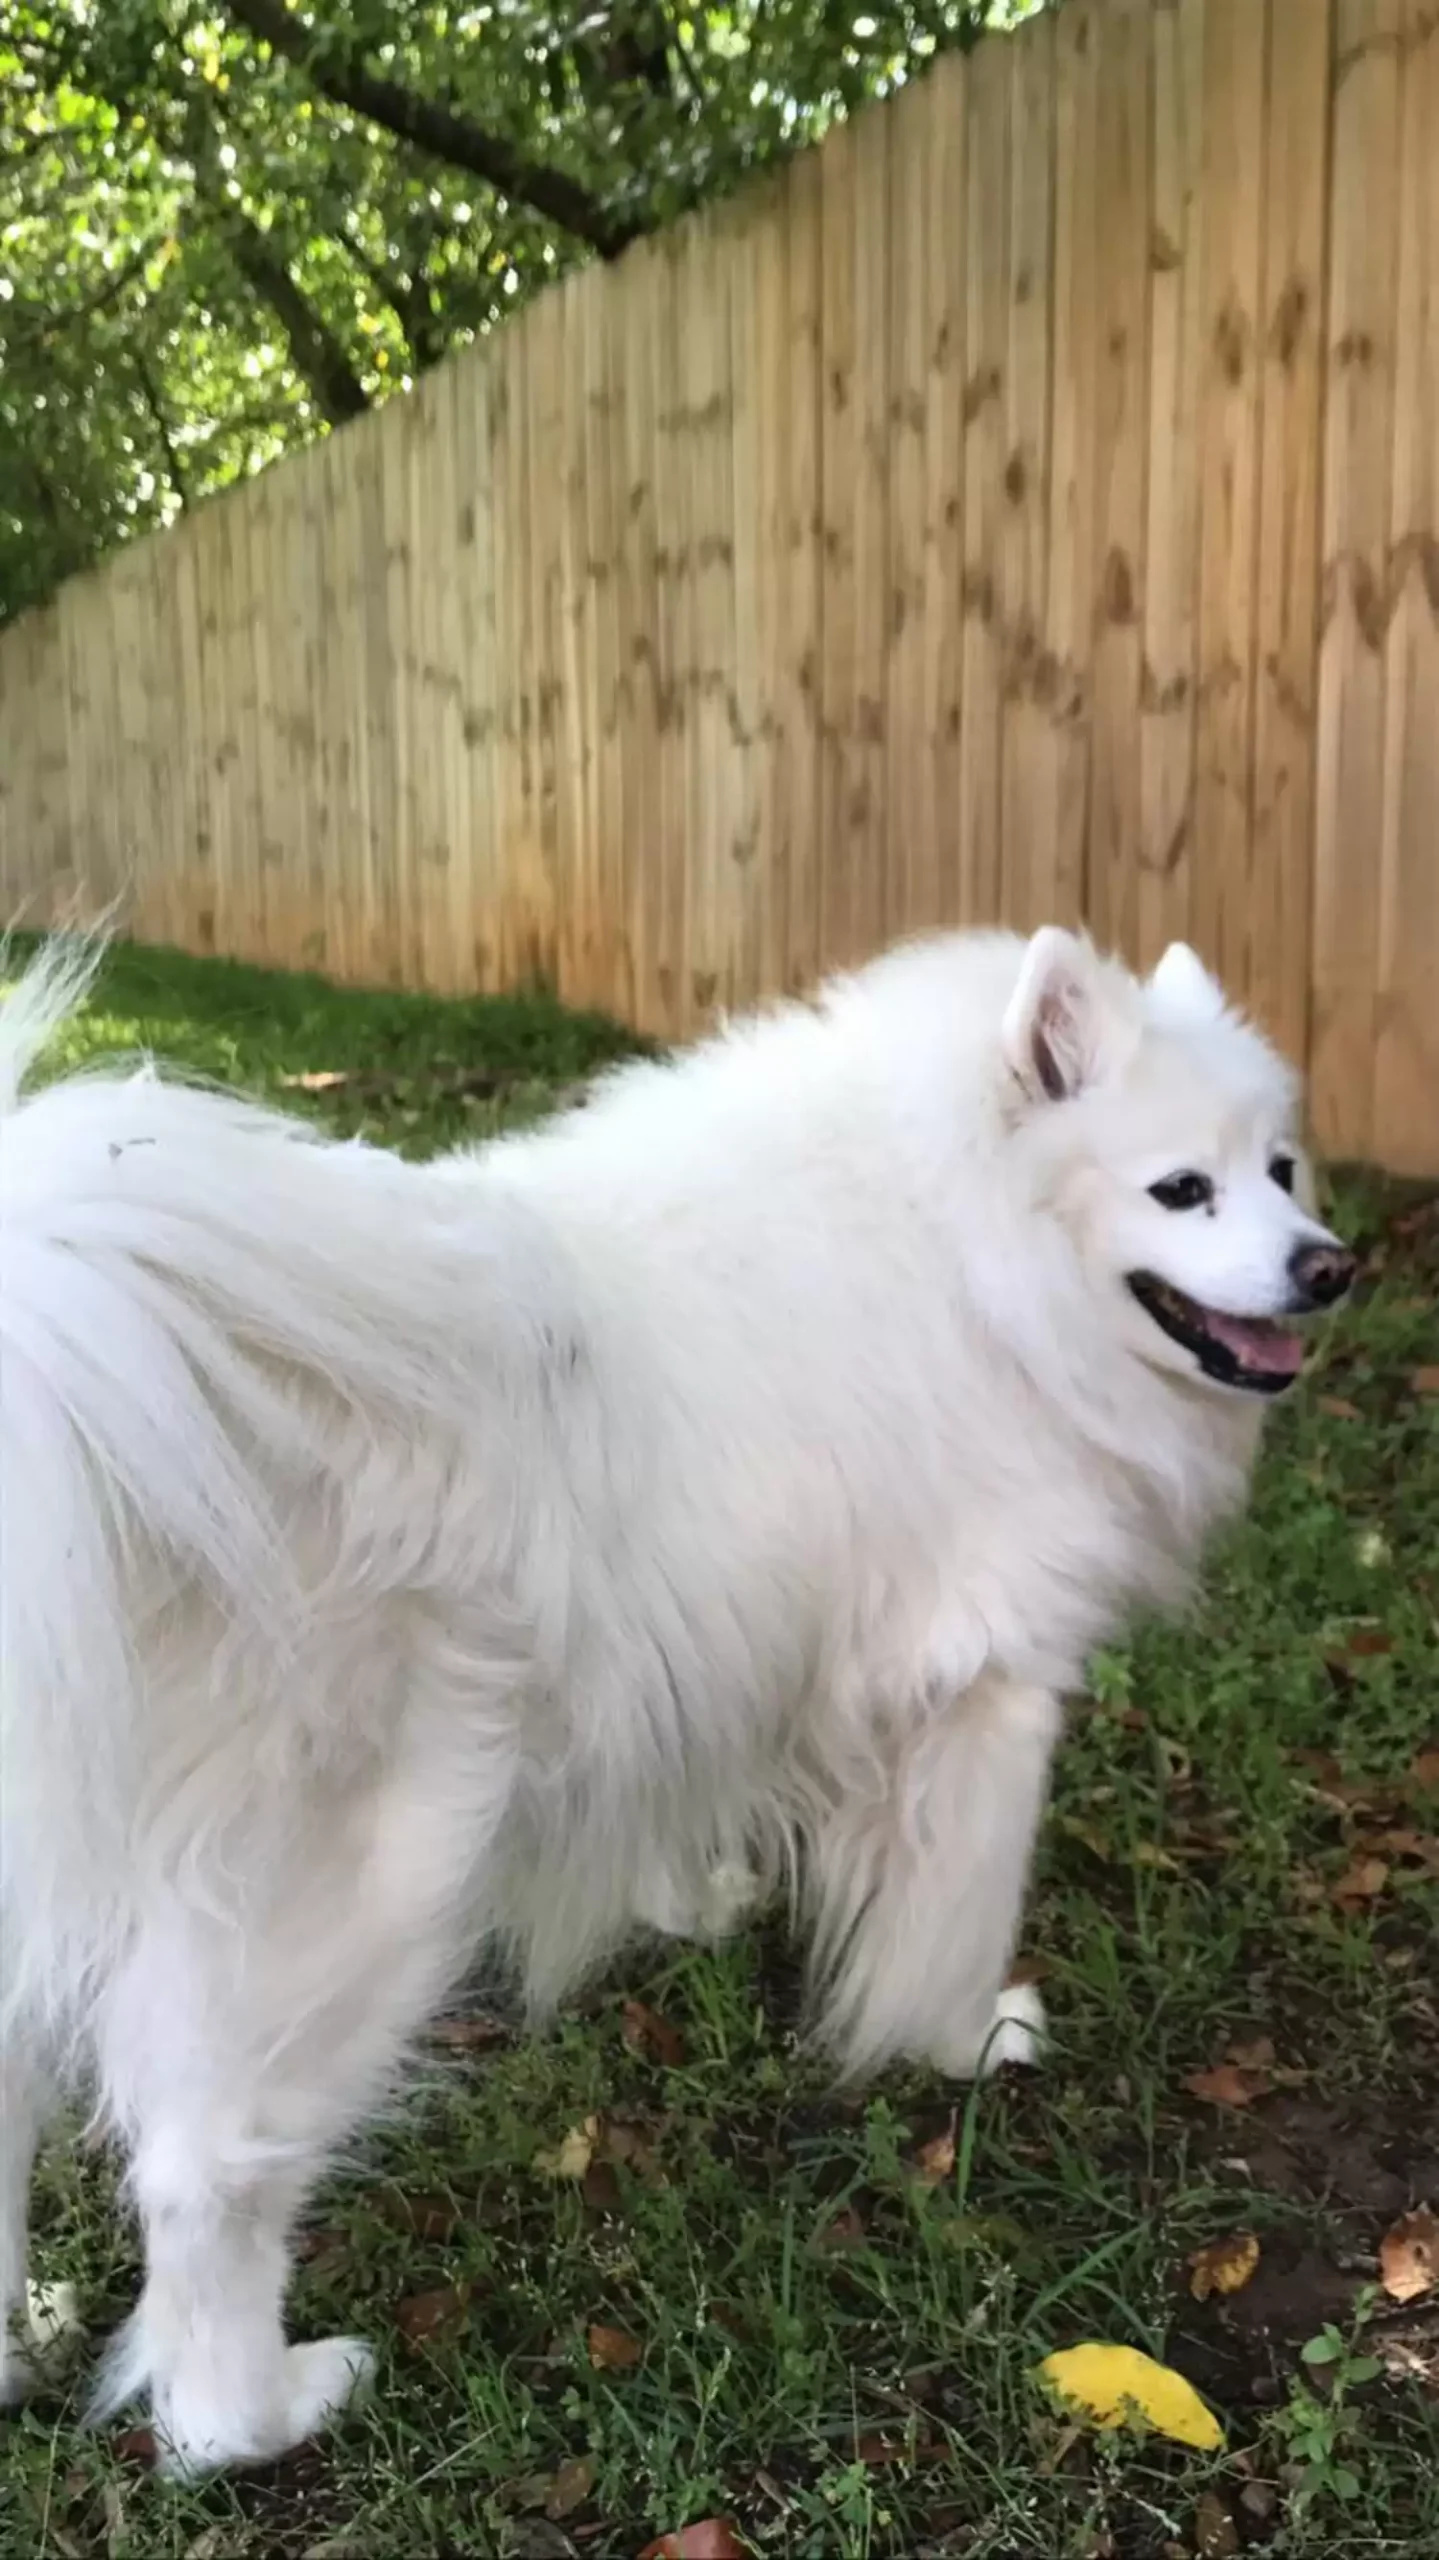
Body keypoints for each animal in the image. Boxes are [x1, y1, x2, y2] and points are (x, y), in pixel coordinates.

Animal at [0, 921, 1341, 2457]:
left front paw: (693, 1903)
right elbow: (957, 1910)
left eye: (1280, 1171)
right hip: (341, 1905)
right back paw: (257, 2409)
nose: (1327, 1268)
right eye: (1180, 1189)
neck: (970, 1256)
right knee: (205, 2177)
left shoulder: (732, 1652)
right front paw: (964, 2038)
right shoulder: (991, 1691)